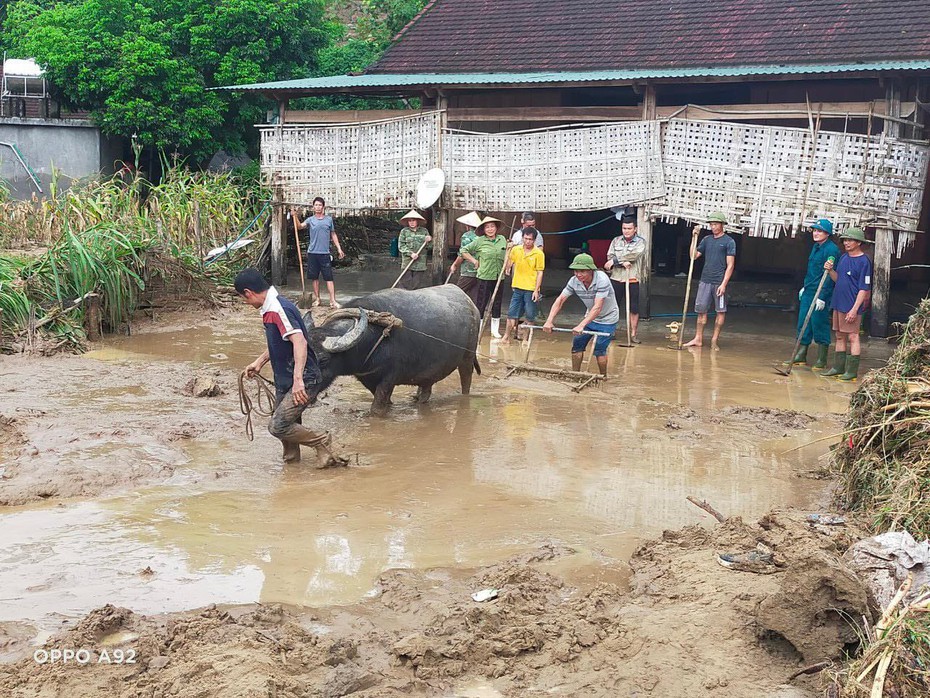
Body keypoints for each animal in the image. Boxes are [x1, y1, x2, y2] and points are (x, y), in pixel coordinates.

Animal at [306, 284, 478, 414]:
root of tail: (471, 305)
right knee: (426, 389)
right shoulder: (367, 378)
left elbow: (376, 409)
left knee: (466, 380)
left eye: (323, 360)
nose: (305, 393)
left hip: (468, 357)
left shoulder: (389, 378)